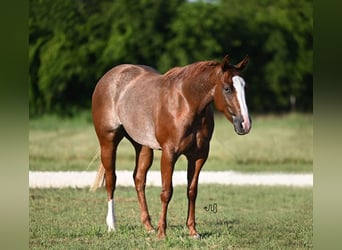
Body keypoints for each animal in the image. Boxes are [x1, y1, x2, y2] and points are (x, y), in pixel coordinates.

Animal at [91, 55, 251, 238]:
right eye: (227, 88)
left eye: (244, 87)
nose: (245, 124)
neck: (186, 102)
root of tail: (109, 77)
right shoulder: (169, 153)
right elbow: (166, 192)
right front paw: (162, 233)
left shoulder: (199, 156)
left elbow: (192, 191)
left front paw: (193, 231)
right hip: (108, 142)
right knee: (111, 180)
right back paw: (112, 225)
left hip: (143, 147)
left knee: (139, 179)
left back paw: (148, 226)